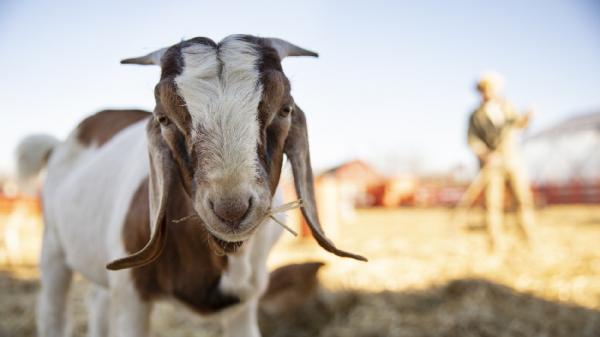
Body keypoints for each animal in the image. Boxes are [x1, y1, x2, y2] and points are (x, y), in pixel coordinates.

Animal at [17, 34, 366, 336]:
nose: (231, 210)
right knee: (52, 310)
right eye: (164, 119)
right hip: (53, 247)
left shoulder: (245, 302)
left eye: (285, 109)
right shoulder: (131, 295)